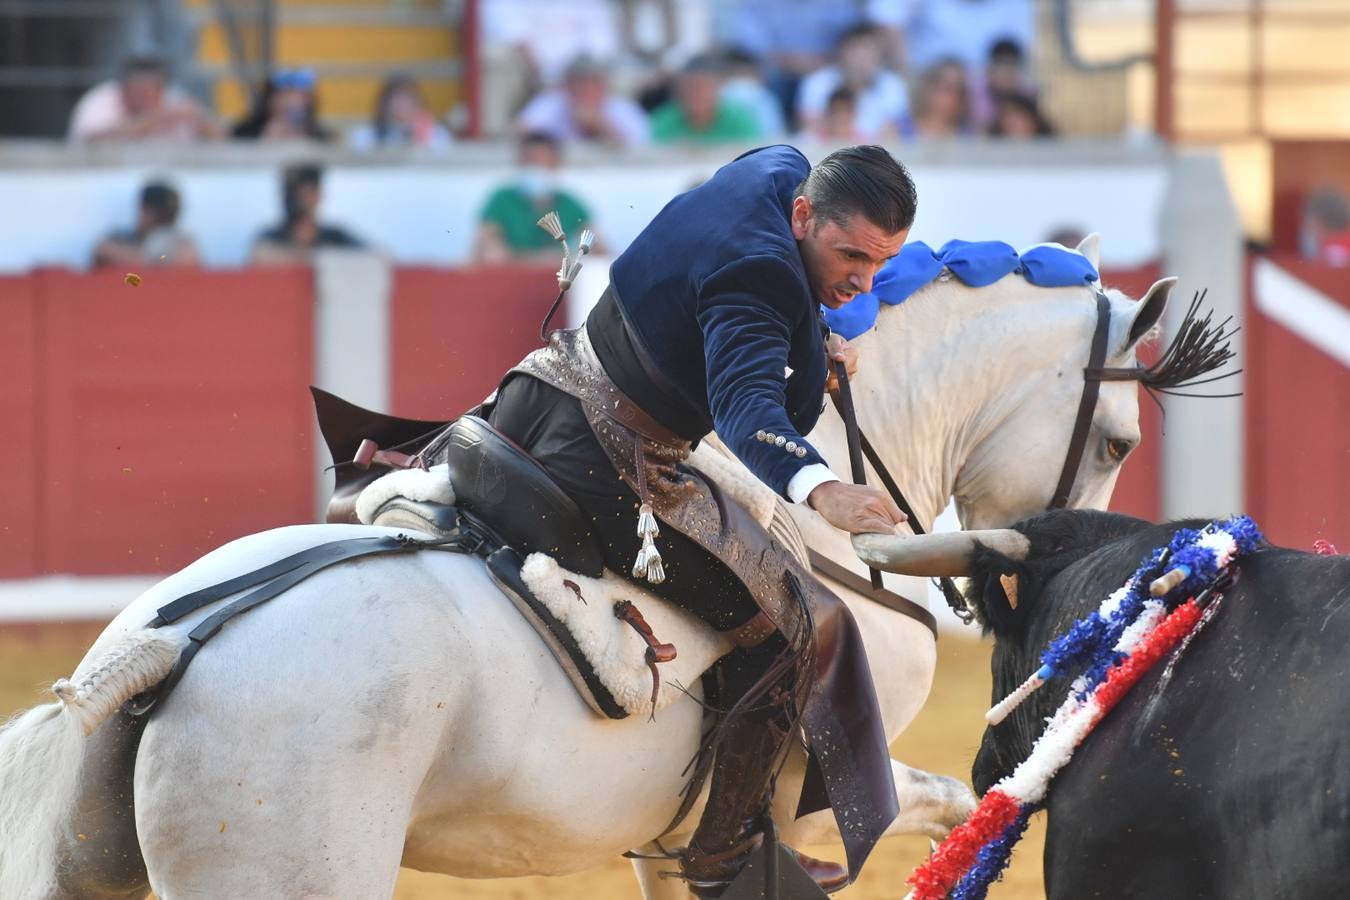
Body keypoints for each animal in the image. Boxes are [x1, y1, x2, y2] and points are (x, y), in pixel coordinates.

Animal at [0, 236, 1171, 895]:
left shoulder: (677, 834)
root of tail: (164, 650)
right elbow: (946, 798)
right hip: (293, 868)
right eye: (1121, 439)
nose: (1022, 570)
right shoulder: (816, 787)